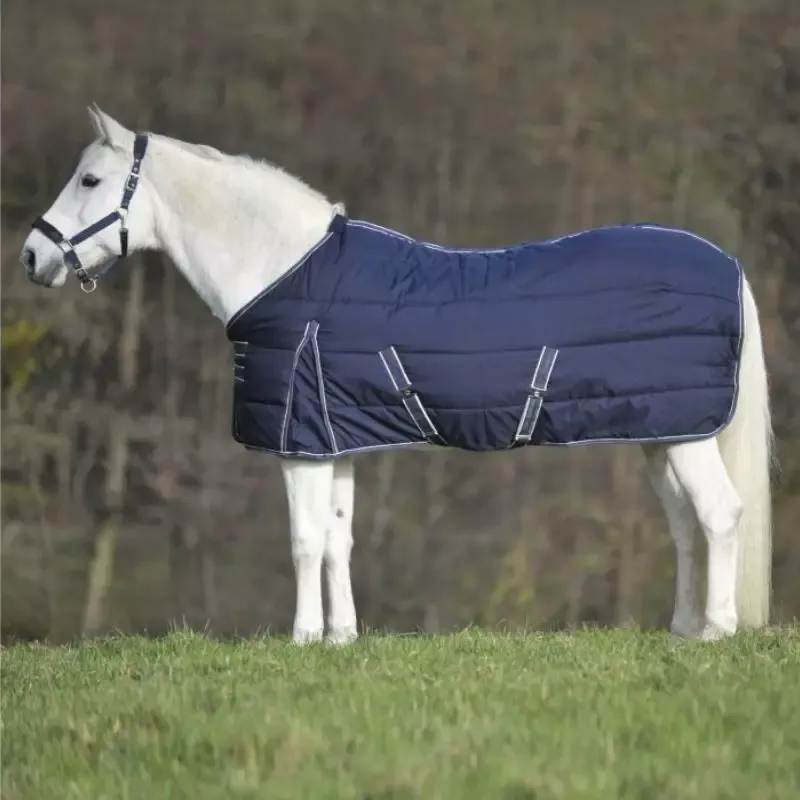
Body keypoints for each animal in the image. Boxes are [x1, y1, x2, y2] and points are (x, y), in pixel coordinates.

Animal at [19, 106, 773, 645]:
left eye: (89, 180)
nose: (31, 256)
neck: (286, 270)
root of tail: (731, 266)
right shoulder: (336, 439)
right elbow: (337, 540)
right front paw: (341, 637)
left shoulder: (299, 442)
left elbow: (303, 540)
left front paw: (301, 639)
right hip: (661, 435)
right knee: (685, 524)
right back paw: (682, 629)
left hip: (685, 436)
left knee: (720, 513)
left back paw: (715, 632)